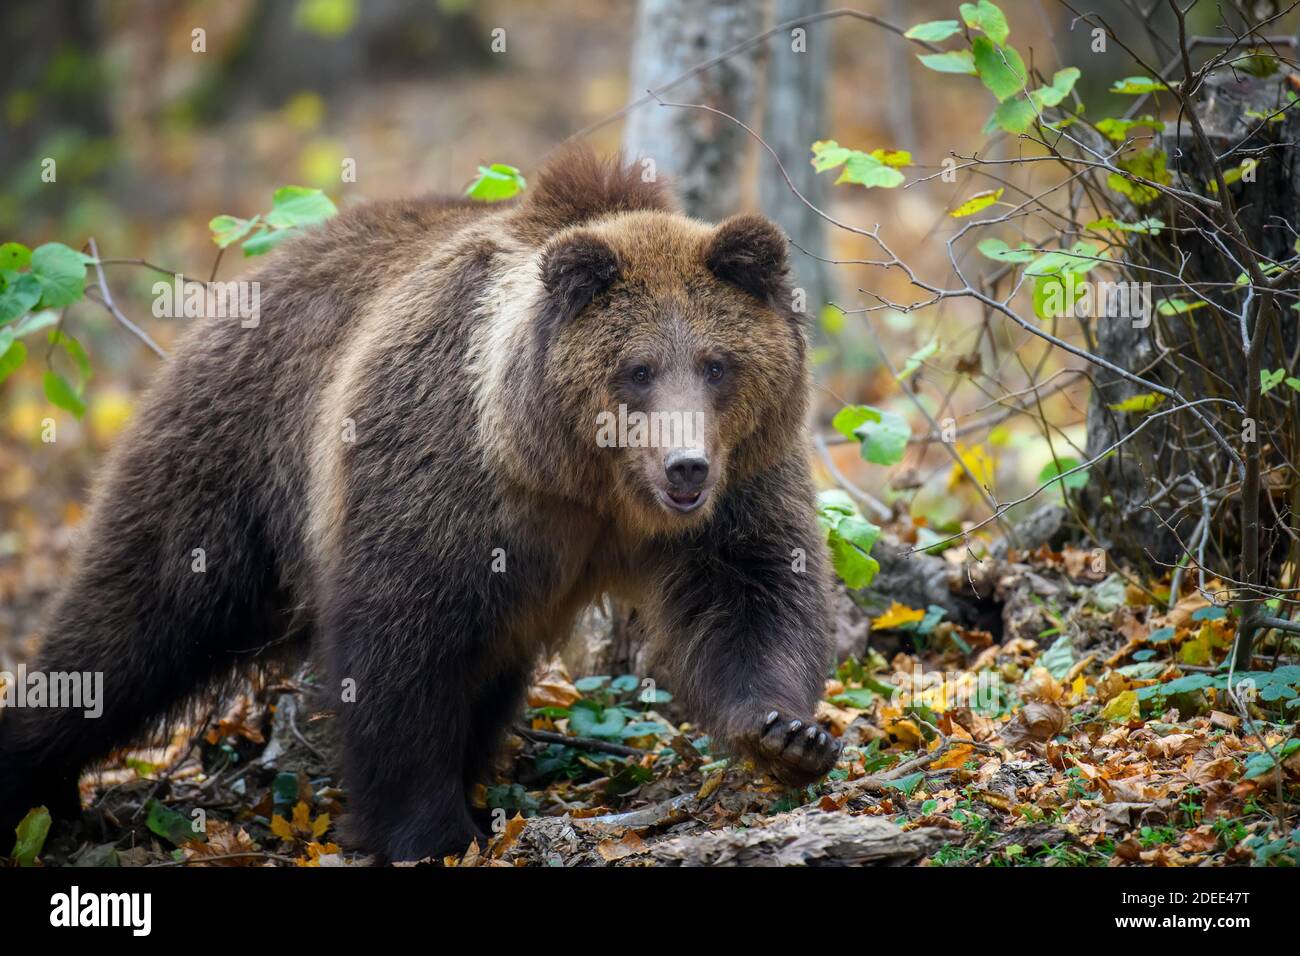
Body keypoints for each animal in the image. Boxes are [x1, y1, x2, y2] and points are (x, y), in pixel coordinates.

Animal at [0, 147, 838, 862]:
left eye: (717, 364)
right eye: (637, 369)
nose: (685, 464)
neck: (579, 482)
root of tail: (250, 282)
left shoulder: (740, 483)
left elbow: (754, 593)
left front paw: (787, 735)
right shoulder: (439, 477)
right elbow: (402, 651)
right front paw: (428, 831)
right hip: (228, 462)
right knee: (134, 621)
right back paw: (37, 777)